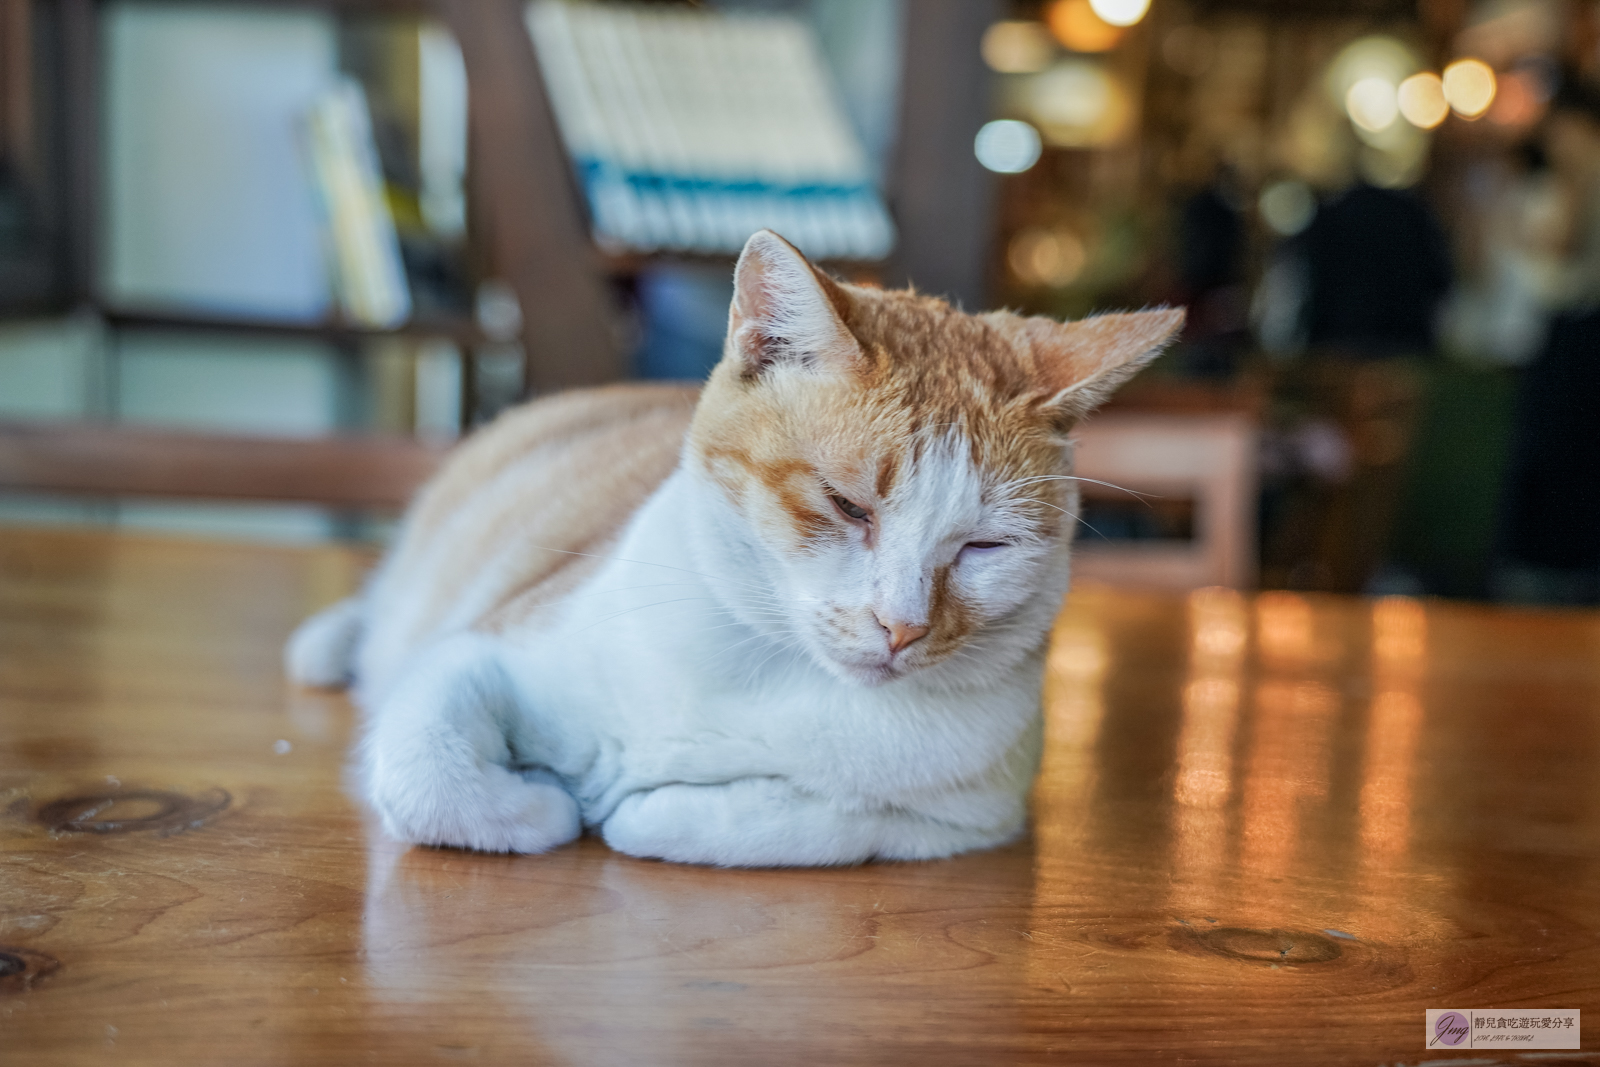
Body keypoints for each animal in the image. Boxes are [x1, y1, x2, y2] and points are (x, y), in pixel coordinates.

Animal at [288, 230, 1184, 863]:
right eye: (846, 505)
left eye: (985, 546)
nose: (902, 627)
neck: (767, 669)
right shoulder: (481, 647)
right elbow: (427, 773)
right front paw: (539, 806)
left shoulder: (968, 817)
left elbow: (815, 819)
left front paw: (632, 801)